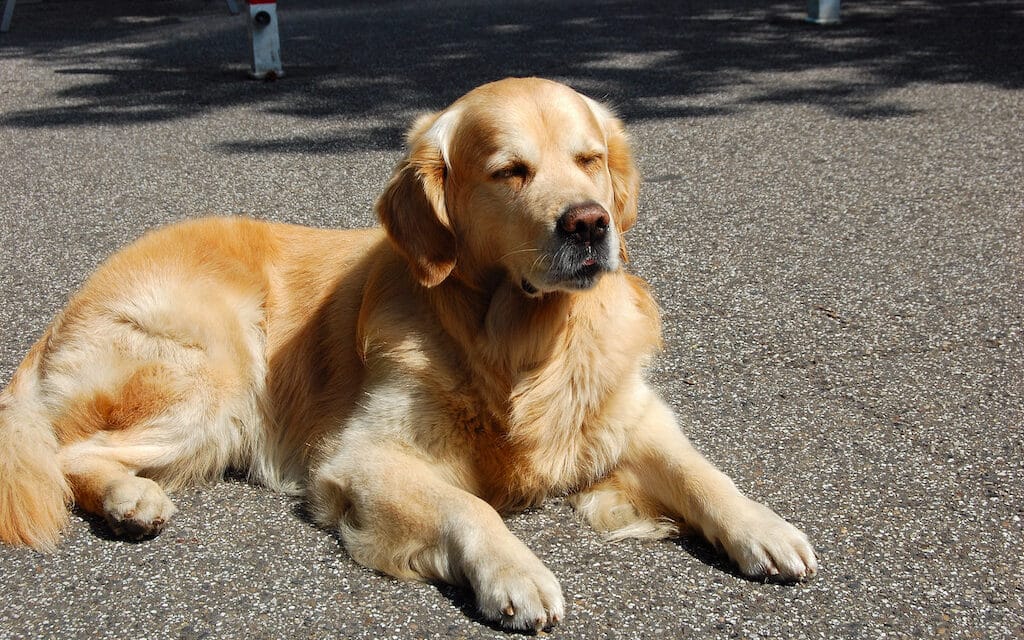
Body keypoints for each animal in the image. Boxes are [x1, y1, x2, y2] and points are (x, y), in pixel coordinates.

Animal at [0, 76, 815, 630]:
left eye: (588, 159)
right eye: (510, 171)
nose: (590, 223)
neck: (520, 343)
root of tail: (67, 307)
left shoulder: (630, 416)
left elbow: (702, 473)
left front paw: (764, 529)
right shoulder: (360, 456)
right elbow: (468, 506)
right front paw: (517, 574)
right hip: (217, 376)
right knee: (70, 452)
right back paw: (130, 500)